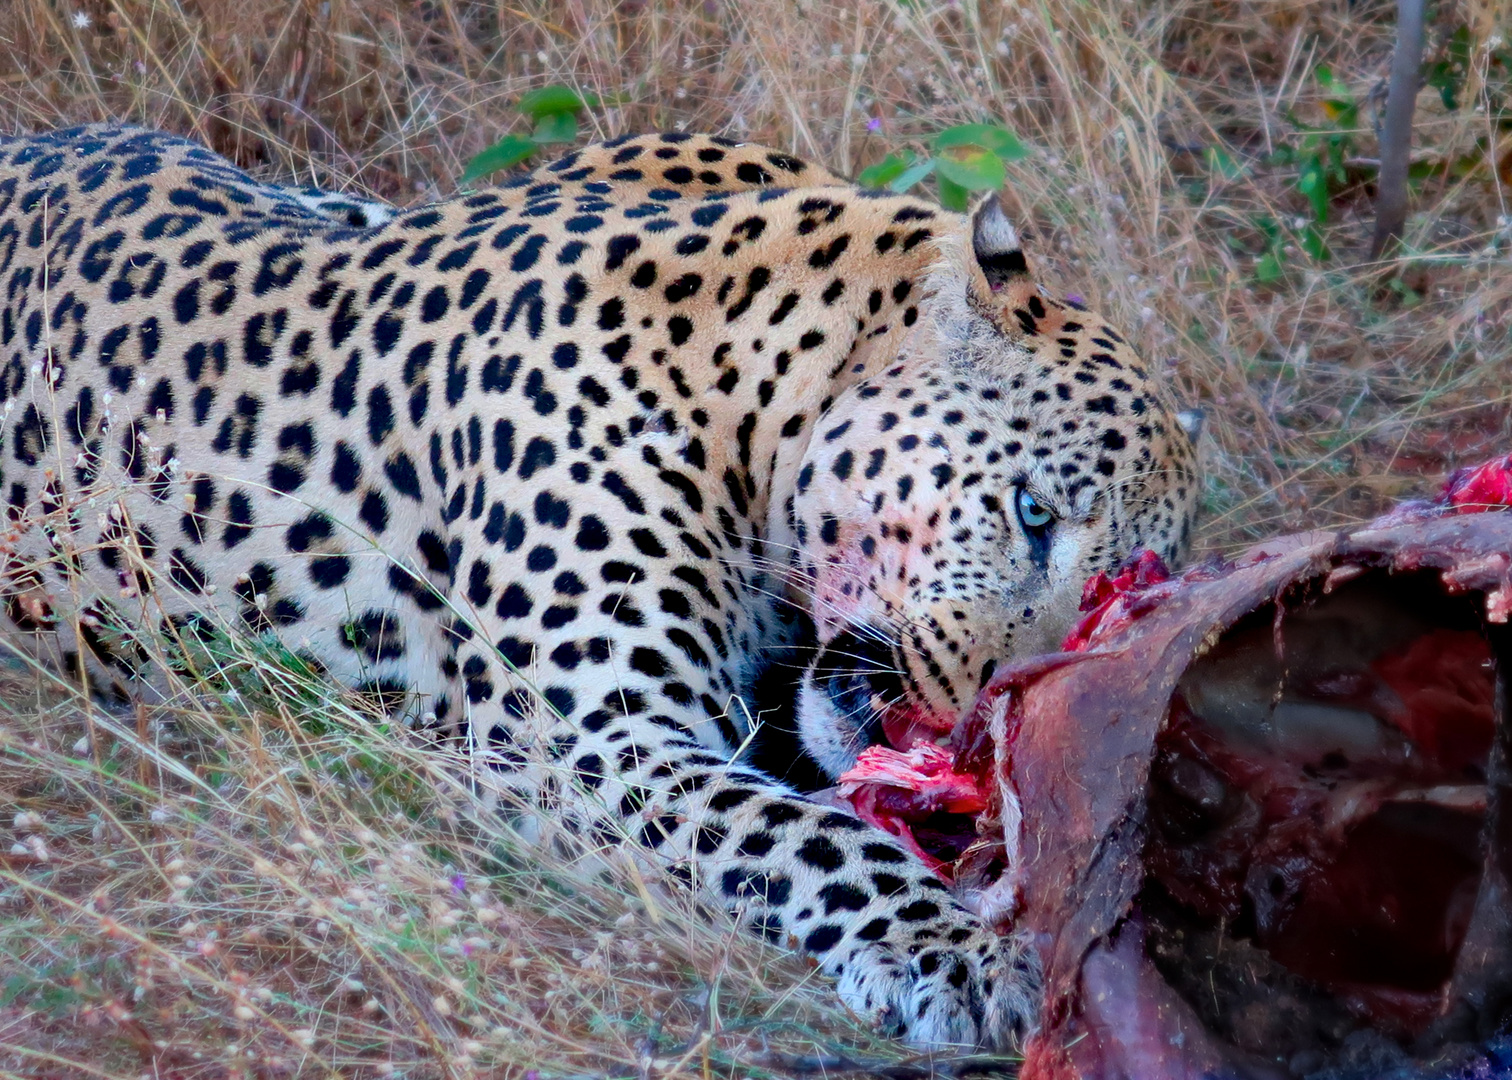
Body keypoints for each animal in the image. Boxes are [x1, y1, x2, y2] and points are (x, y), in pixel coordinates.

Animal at [0, 121, 1203, 1046]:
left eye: (1114, 605)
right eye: (1033, 514)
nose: (984, 724)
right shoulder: (580, 739)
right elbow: (808, 838)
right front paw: (956, 950)